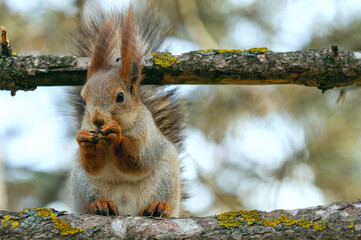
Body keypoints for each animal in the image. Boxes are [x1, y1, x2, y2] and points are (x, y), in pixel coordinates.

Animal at [68, 5, 186, 218]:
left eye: (120, 97)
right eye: (83, 100)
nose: (97, 119)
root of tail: (126, 209)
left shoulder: (146, 134)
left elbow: (137, 159)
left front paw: (116, 133)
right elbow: (93, 165)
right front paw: (83, 138)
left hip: (167, 178)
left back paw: (158, 206)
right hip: (82, 183)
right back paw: (100, 205)